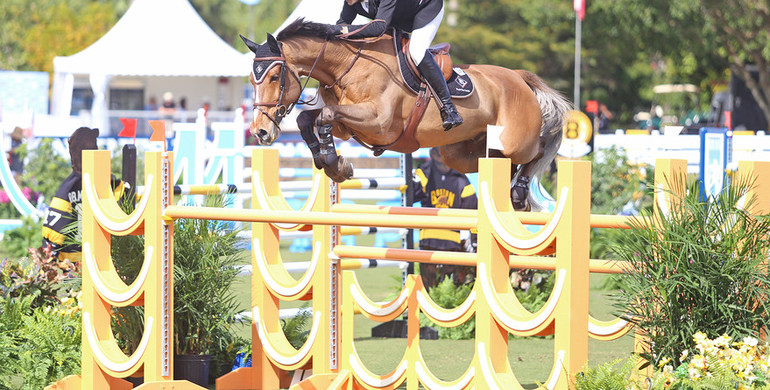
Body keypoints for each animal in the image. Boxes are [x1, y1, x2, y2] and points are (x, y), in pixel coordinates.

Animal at [242, 17, 568, 210]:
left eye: (274, 77)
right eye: (251, 80)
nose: (260, 132)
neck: (347, 66)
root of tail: (519, 78)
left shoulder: (379, 123)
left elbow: (324, 117)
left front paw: (336, 165)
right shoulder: (348, 125)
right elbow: (308, 119)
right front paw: (329, 162)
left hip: (515, 141)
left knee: (537, 151)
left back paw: (520, 193)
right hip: (462, 154)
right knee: (502, 164)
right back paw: (514, 193)